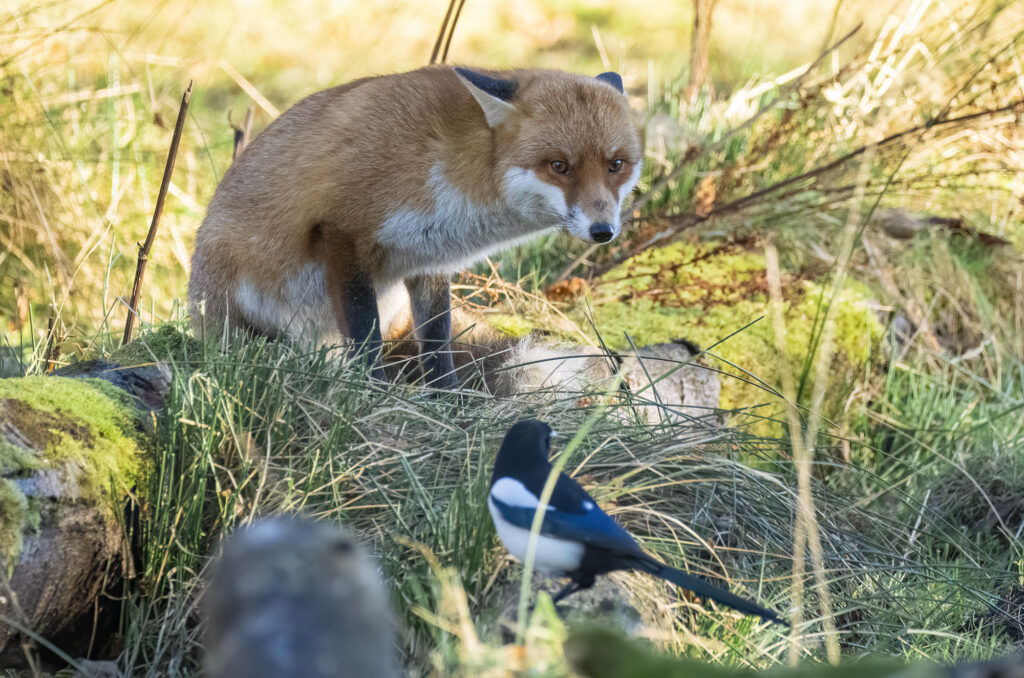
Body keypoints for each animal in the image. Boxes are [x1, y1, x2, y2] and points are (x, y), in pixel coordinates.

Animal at [188, 69, 643, 391]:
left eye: (616, 165)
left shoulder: (429, 259)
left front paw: (449, 400)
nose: (603, 231)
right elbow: (364, 335)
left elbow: (437, 345)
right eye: (559, 166)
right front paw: (373, 393)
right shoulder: (343, 232)